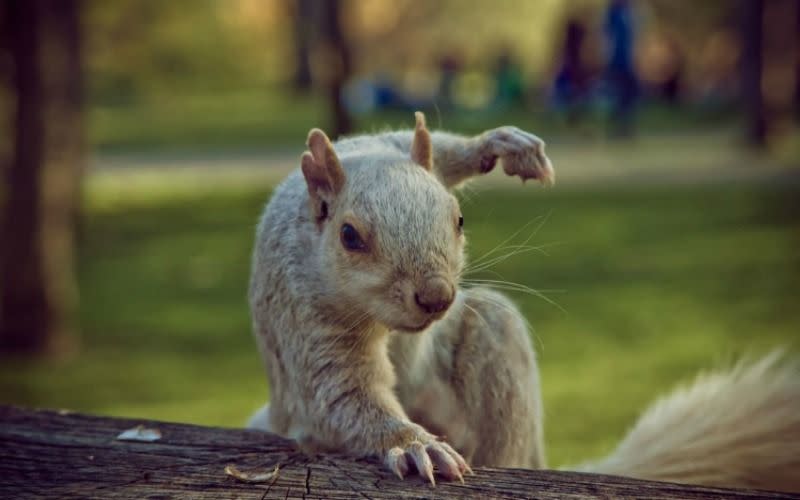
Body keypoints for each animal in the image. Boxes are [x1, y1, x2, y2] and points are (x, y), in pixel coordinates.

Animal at [247, 112, 796, 492]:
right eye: (350, 237)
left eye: (460, 219)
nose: (437, 297)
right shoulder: (308, 317)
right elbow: (342, 394)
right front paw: (414, 444)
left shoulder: (389, 146)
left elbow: (433, 146)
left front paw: (502, 145)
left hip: (493, 335)